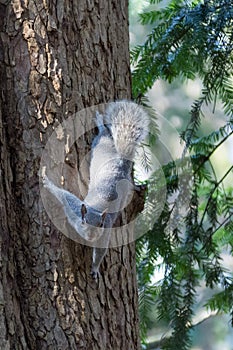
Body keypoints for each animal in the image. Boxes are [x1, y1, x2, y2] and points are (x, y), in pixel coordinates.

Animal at [42, 101, 149, 278]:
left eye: (100, 224)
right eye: (84, 221)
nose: (91, 236)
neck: (97, 209)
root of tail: (121, 162)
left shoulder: (106, 232)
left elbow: (100, 252)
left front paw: (95, 269)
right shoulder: (74, 210)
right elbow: (64, 196)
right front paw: (47, 183)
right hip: (100, 145)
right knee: (104, 134)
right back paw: (100, 123)